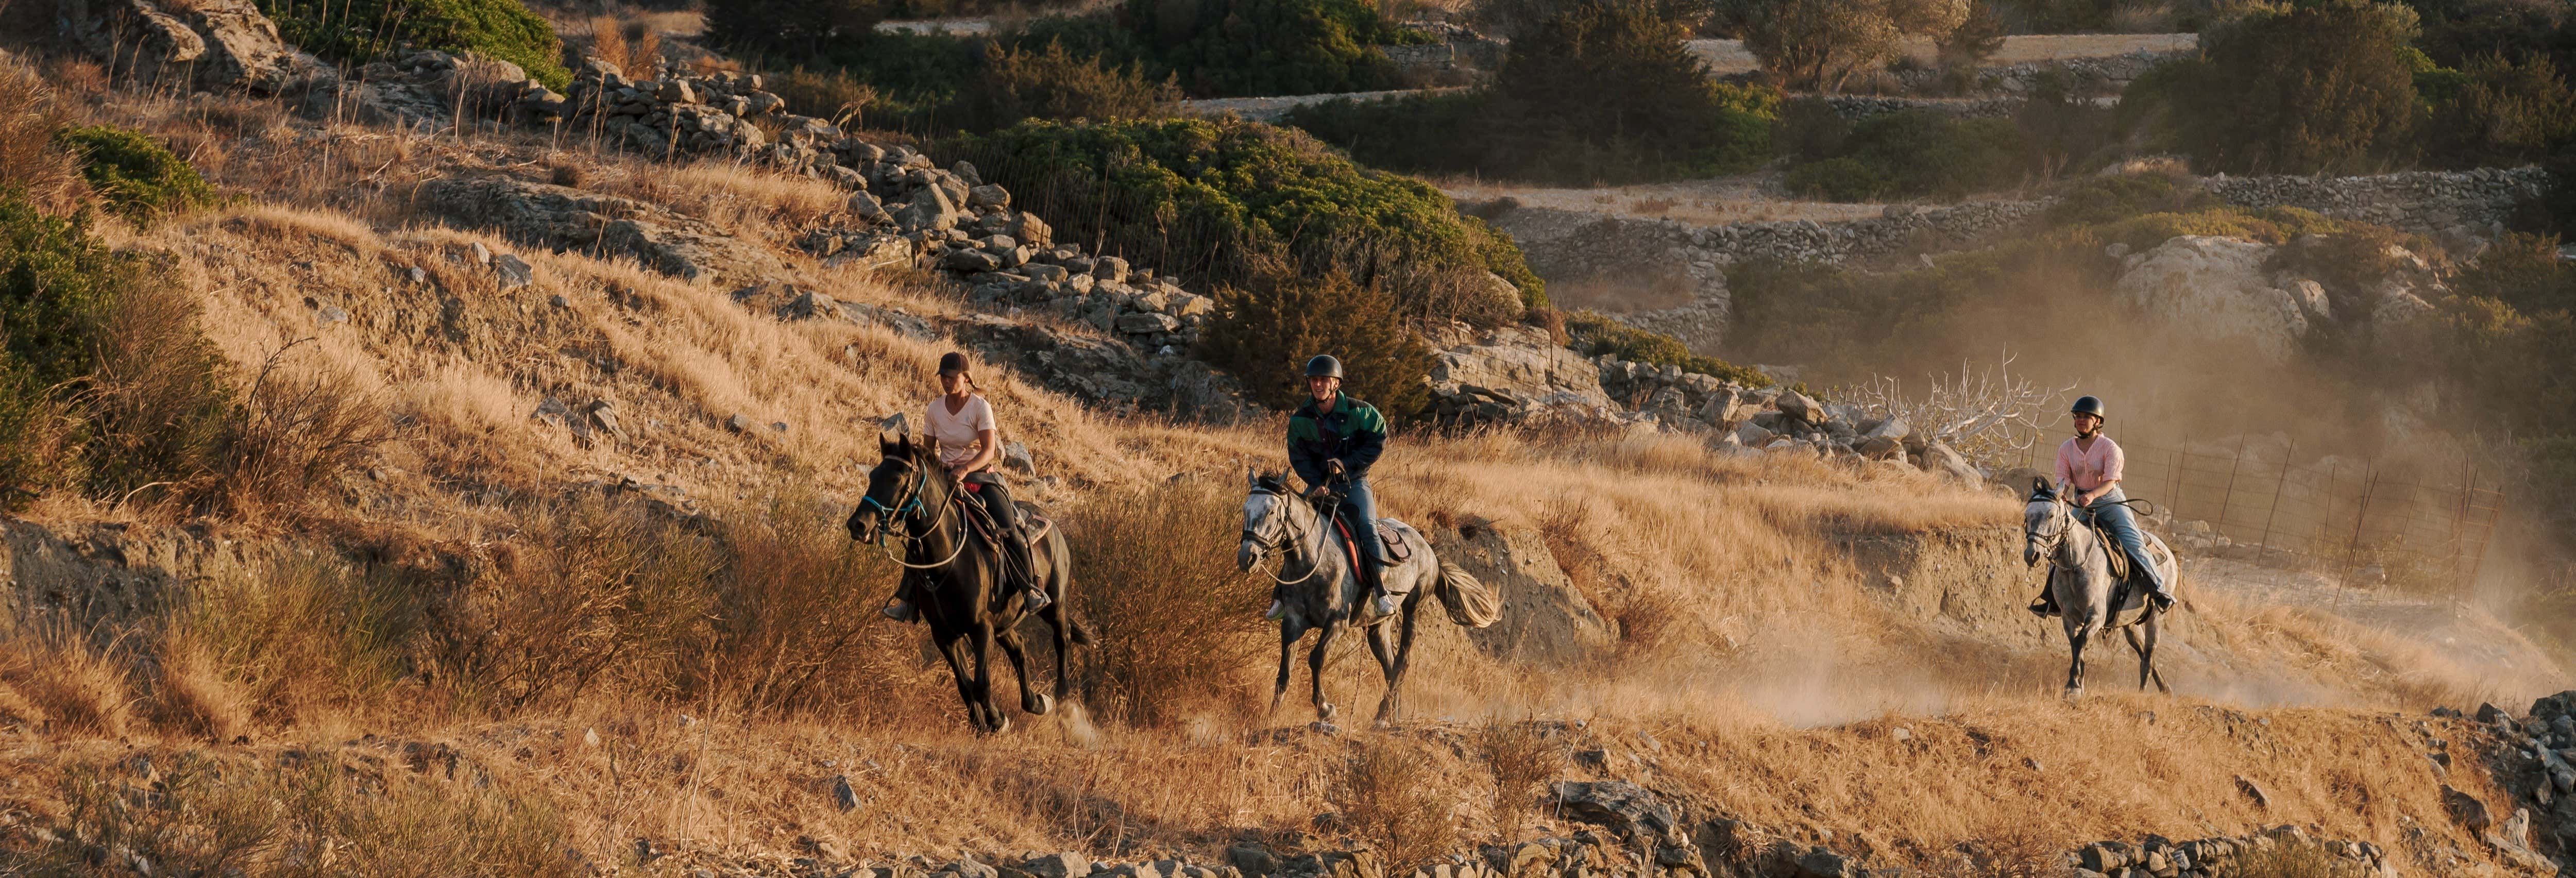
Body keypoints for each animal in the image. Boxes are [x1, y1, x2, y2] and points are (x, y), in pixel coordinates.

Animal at [846, 430, 1091, 733]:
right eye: (873, 475)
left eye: (896, 478)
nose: (858, 525)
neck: (948, 559)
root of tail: (1052, 525)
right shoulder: (945, 635)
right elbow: (965, 685)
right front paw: (981, 724)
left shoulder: (981, 628)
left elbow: (981, 685)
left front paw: (997, 720)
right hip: (1004, 622)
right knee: (1019, 648)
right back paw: (1037, 703)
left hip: (1054, 603)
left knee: (1062, 638)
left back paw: (1063, 702)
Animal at [1237, 470, 1498, 726]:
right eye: (1245, 509)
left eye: (1271, 512)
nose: (1247, 558)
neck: (1315, 560)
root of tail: (1428, 547)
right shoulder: (1292, 622)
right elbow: (1284, 671)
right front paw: (1271, 717)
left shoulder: (1337, 623)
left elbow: (1316, 659)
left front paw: (1325, 709)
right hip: (1378, 627)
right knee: (1390, 665)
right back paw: (1392, 715)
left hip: (1414, 608)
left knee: (1402, 663)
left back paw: (1382, 716)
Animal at [2023, 477, 2179, 697]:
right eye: (2027, 515)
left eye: (2051, 515)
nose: (2032, 555)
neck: (2076, 564)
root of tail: (2168, 552)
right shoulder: (2068, 617)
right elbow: (2075, 646)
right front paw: (2078, 683)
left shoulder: (2096, 615)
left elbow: (2080, 642)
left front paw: (2073, 687)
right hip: (2130, 623)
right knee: (2144, 652)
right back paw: (2165, 689)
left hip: (2156, 616)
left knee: (2148, 656)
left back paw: (2142, 692)